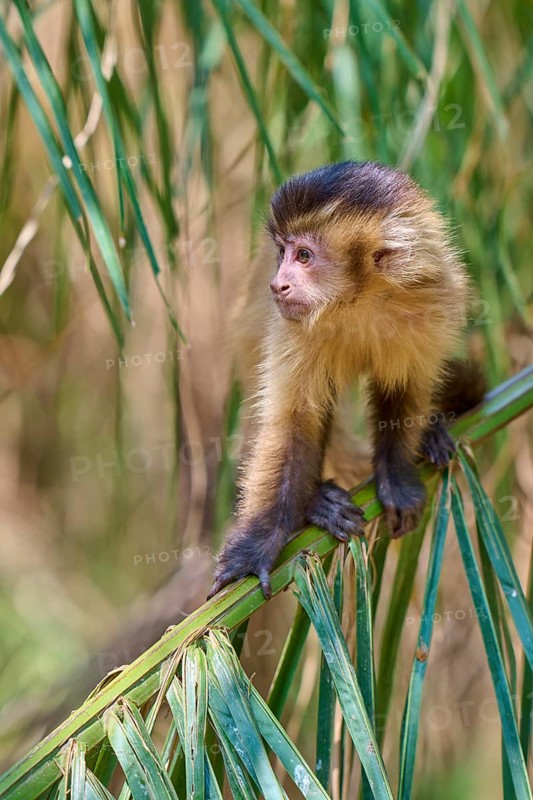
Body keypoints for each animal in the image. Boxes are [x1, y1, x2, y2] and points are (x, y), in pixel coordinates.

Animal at [207, 160, 484, 600]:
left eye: (304, 256)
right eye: (282, 252)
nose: (277, 283)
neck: (360, 299)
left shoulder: (432, 295)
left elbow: (404, 388)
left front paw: (396, 478)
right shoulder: (294, 323)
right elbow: (294, 422)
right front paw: (255, 549)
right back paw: (318, 503)